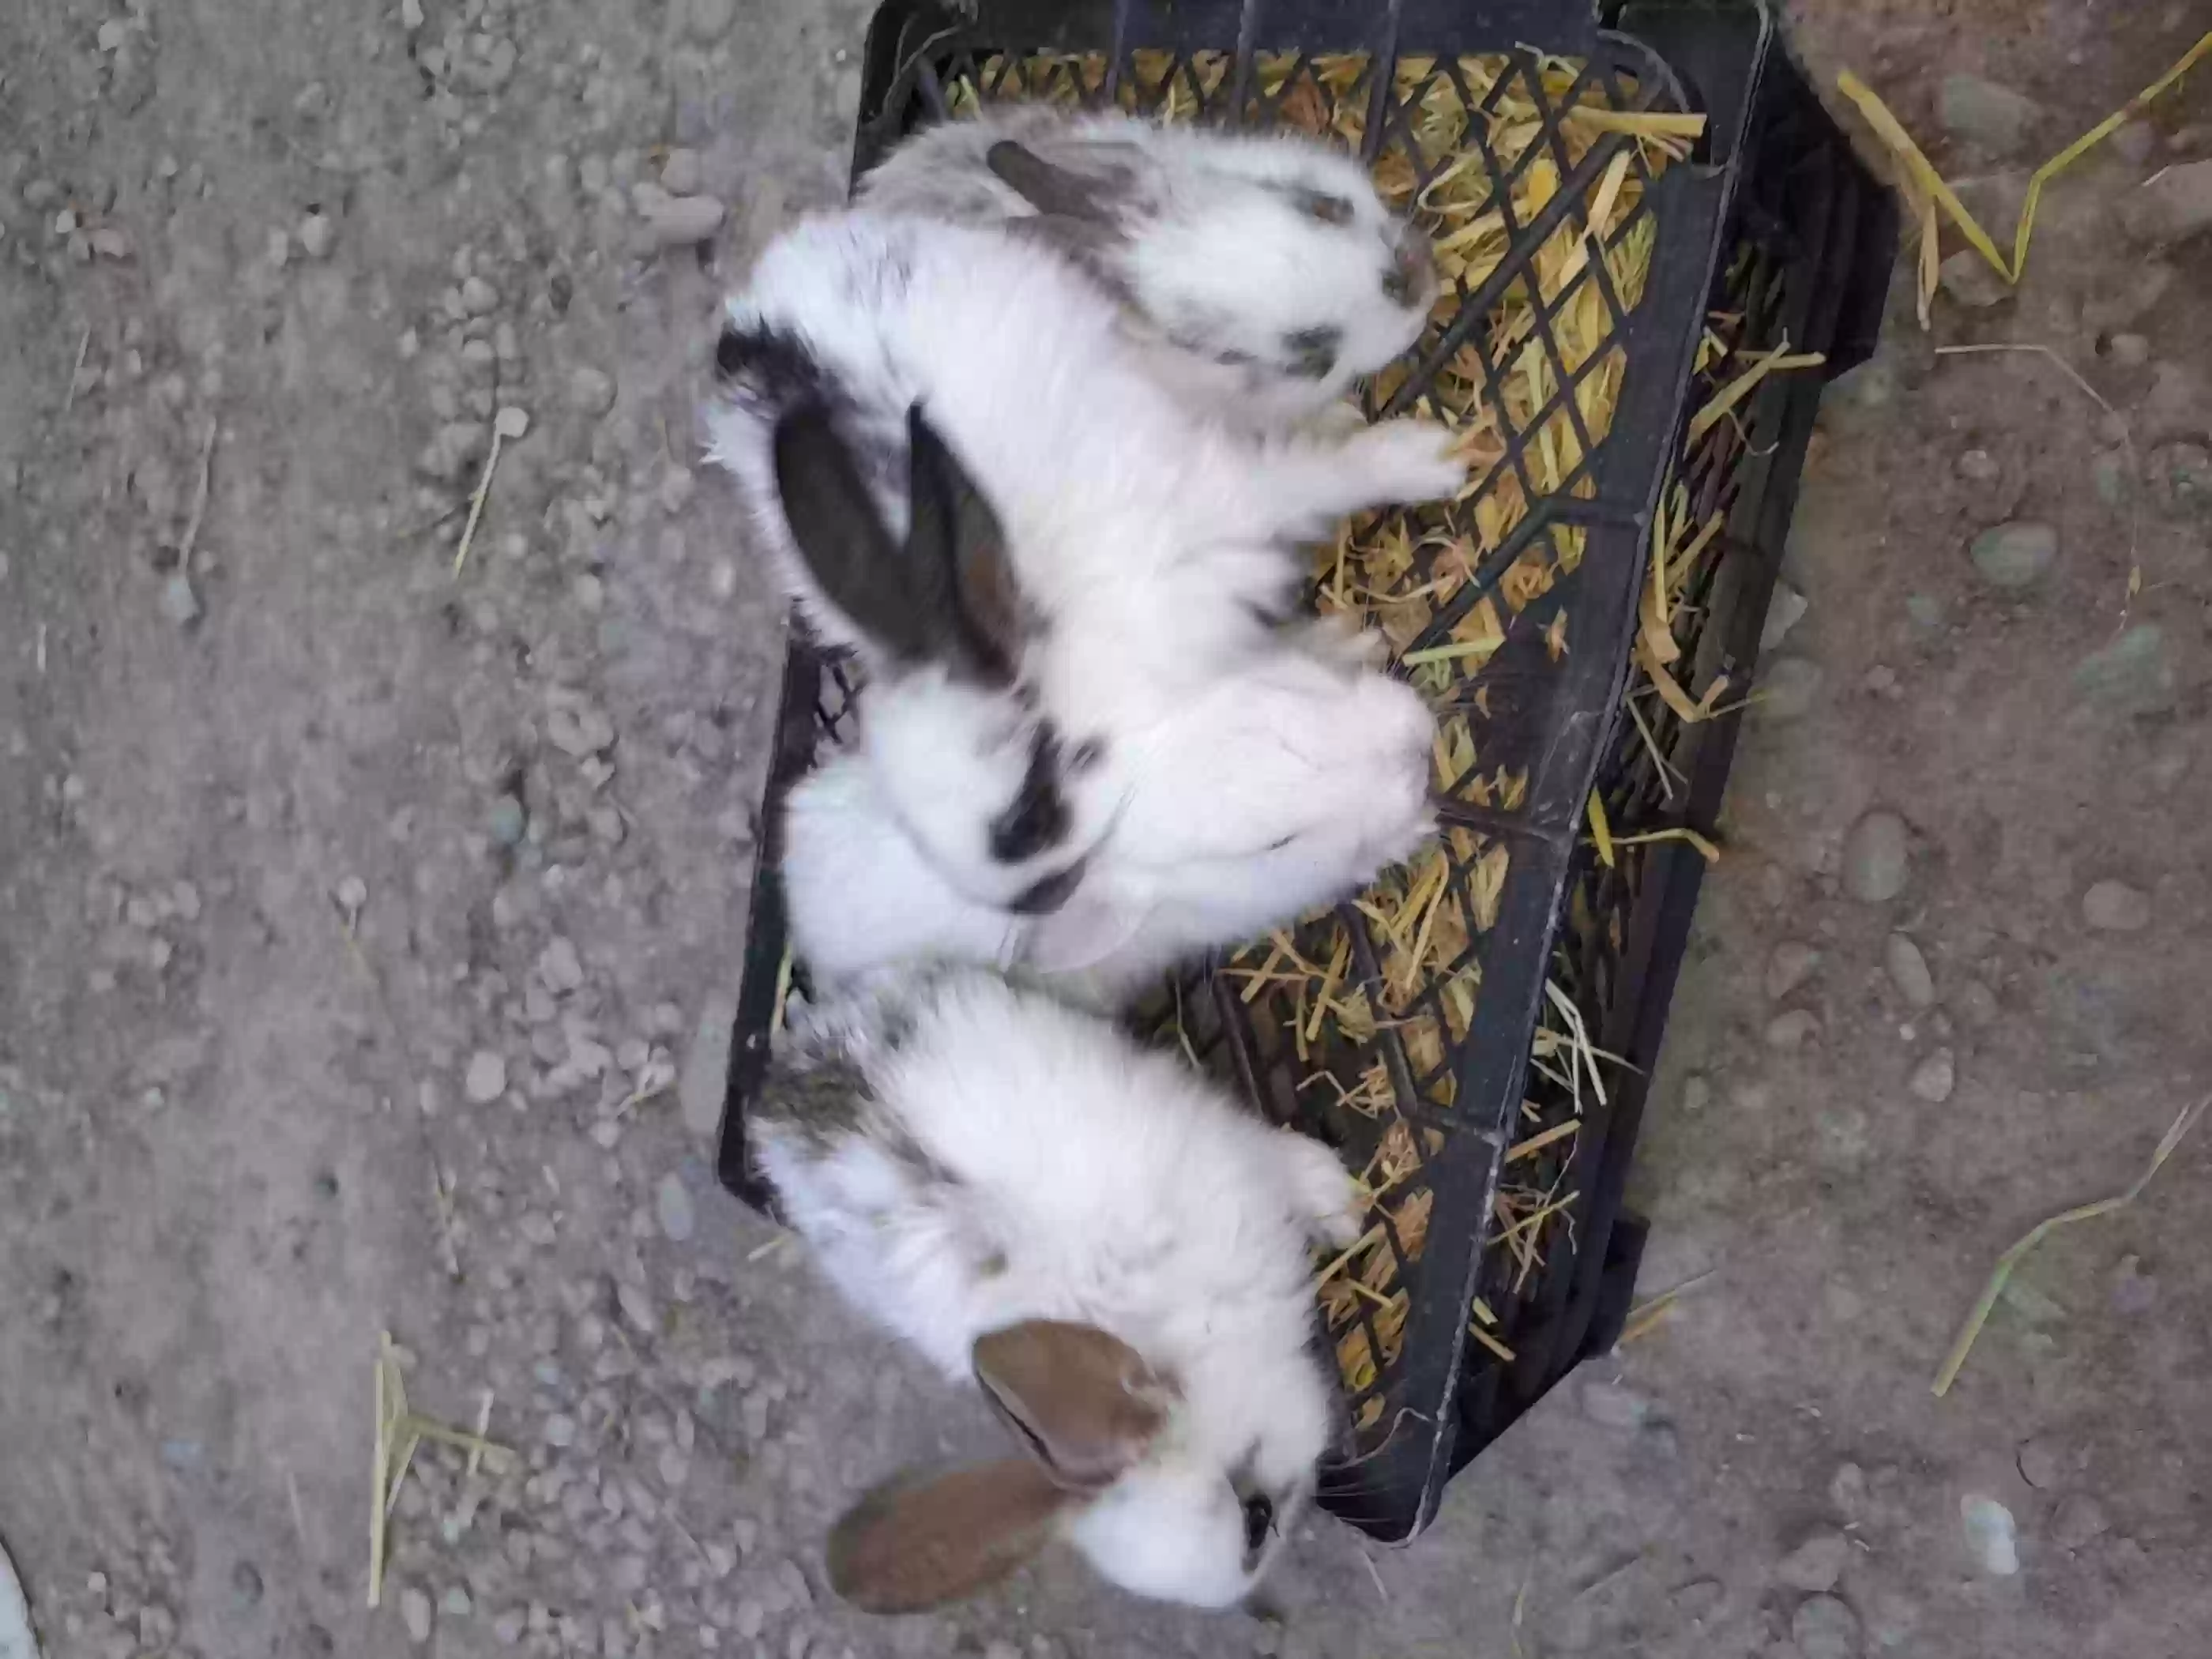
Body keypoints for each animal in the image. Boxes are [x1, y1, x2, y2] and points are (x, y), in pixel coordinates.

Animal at [705, 210, 1461, 914]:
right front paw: (1342, 646)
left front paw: (1430, 461)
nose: (1038, 902)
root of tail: (761, 296)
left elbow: (1320, 480)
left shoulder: (1216, 510)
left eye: (1033, 806)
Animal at [751, 966, 1361, 1610]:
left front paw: (1342, 1203)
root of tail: (783, 1085)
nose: (1303, 1510)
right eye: (1258, 1519)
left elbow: (1281, 1161)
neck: (1195, 1343)